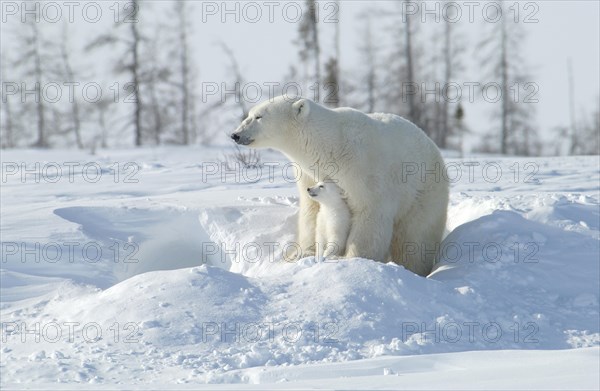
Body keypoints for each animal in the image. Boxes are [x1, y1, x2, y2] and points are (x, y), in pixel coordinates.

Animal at [232, 96, 448, 278]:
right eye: (250, 114)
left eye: (258, 116)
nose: (235, 134)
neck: (330, 146)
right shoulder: (308, 174)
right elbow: (311, 211)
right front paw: (300, 254)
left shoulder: (362, 168)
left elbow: (370, 214)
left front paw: (350, 259)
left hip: (423, 194)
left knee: (415, 238)